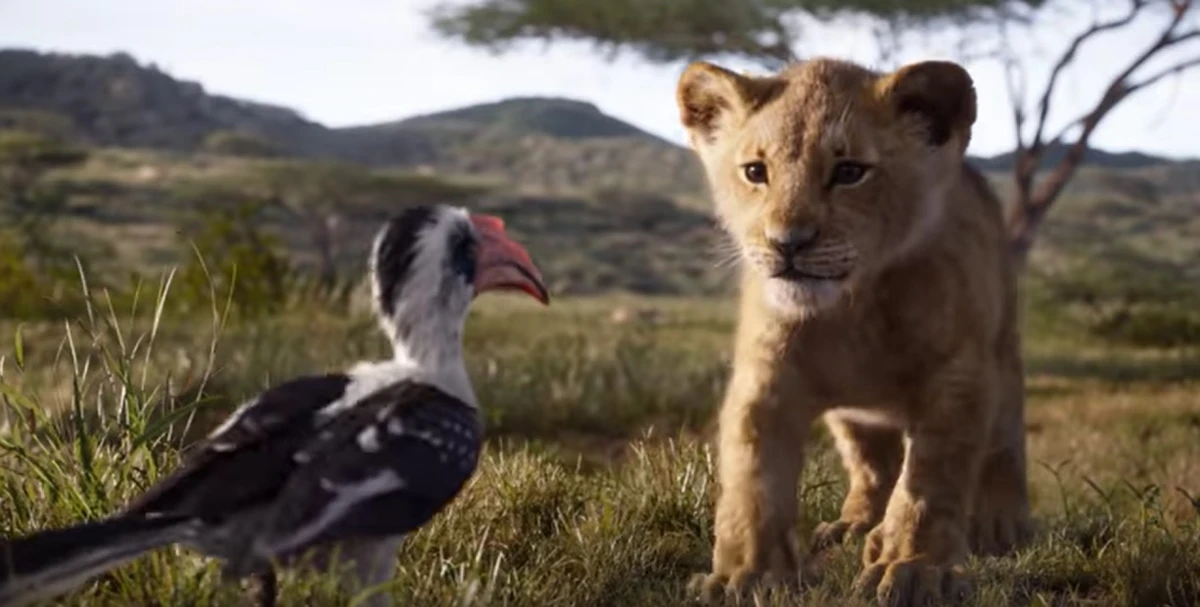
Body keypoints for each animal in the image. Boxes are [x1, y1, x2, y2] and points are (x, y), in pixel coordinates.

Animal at [674, 57, 1031, 606]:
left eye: (849, 172)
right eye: (755, 172)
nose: (787, 244)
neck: (851, 308)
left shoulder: (958, 377)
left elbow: (930, 483)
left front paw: (913, 568)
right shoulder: (766, 379)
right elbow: (753, 478)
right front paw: (746, 575)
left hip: (1004, 353)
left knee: (1004, 443)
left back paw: (999, 523)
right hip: (852, 417)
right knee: (872, 465)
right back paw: (858, 526)